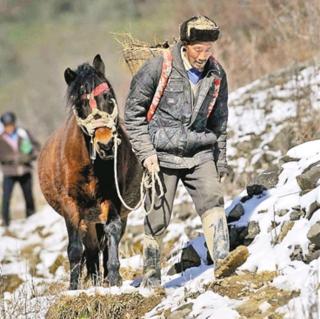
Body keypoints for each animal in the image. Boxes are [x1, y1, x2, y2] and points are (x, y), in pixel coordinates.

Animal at [37, 54, 142, 290]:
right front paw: (73, 287)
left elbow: (112, 231)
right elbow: (75, 249)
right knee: (91, 249)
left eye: (108, 96)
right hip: (87, 218)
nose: (105, 144)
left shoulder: (111, 199)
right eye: (81, 103)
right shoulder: (71, 204)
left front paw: (114, 277)